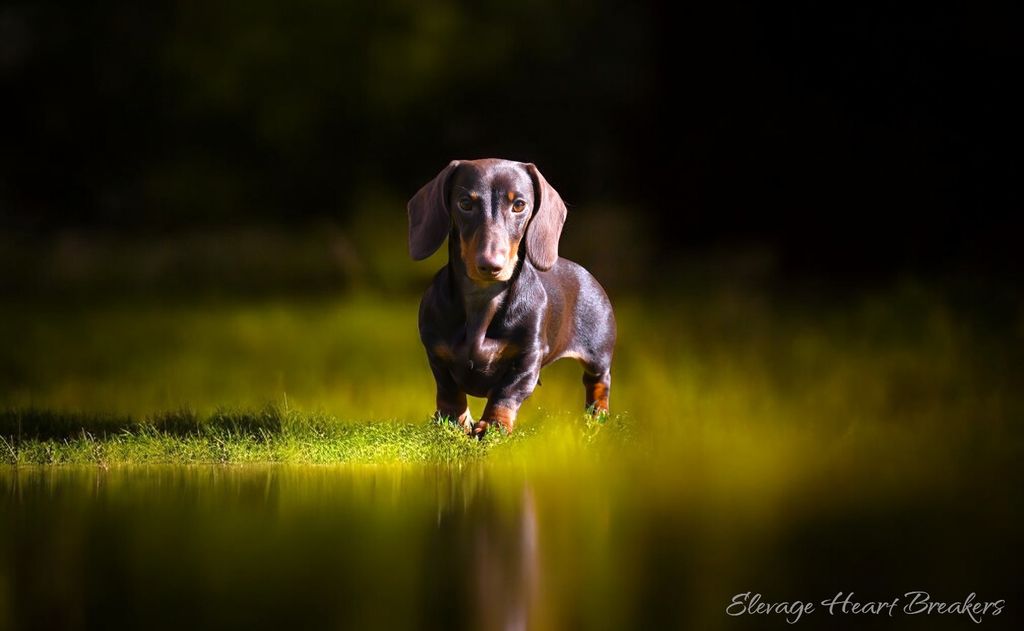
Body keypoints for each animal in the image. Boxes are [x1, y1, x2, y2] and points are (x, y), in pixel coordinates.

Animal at [407, 157, 614, 436]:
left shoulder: (528, 357)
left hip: (598, 353)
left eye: (519, 205)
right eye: (465, 203)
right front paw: (454, 421)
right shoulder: (436, 352)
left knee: (599, 381)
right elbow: (449, 391)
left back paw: (597, 415)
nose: (490, 265)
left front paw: (494, 424)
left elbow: (506, 393)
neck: (482, 300)